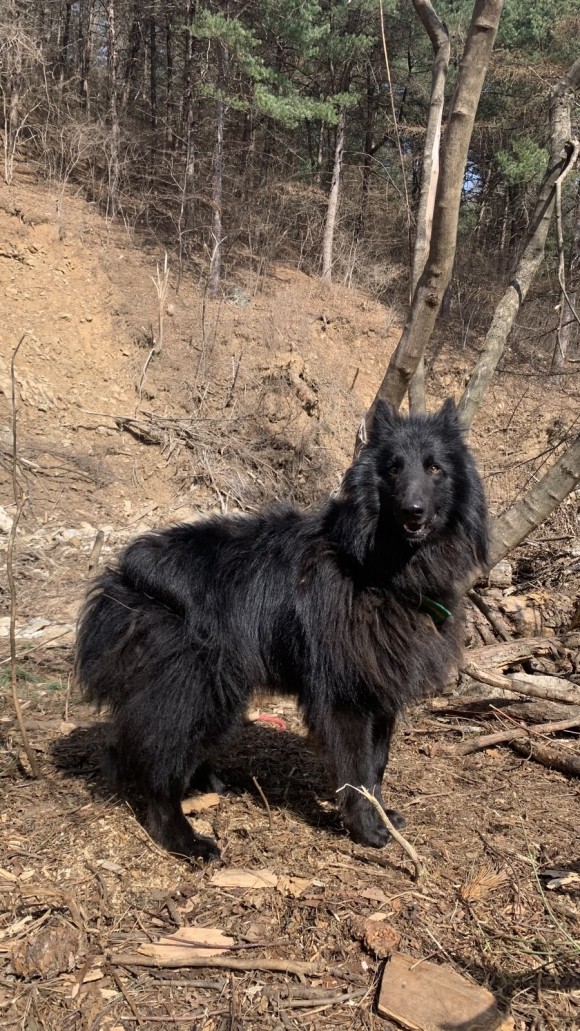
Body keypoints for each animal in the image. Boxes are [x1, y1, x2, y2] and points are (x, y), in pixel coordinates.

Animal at [74, 397, 488, 857]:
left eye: (435, 468)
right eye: (393, 469)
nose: (412, 511)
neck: (377, 568)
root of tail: (127, 569)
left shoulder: (380, 689)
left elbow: (377, 764)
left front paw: (383, 815)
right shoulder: (345, 694)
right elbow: (357, 769)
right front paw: (367, 829)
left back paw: (210, 783)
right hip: (199, 688)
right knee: (160, 765)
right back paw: (185, 840)